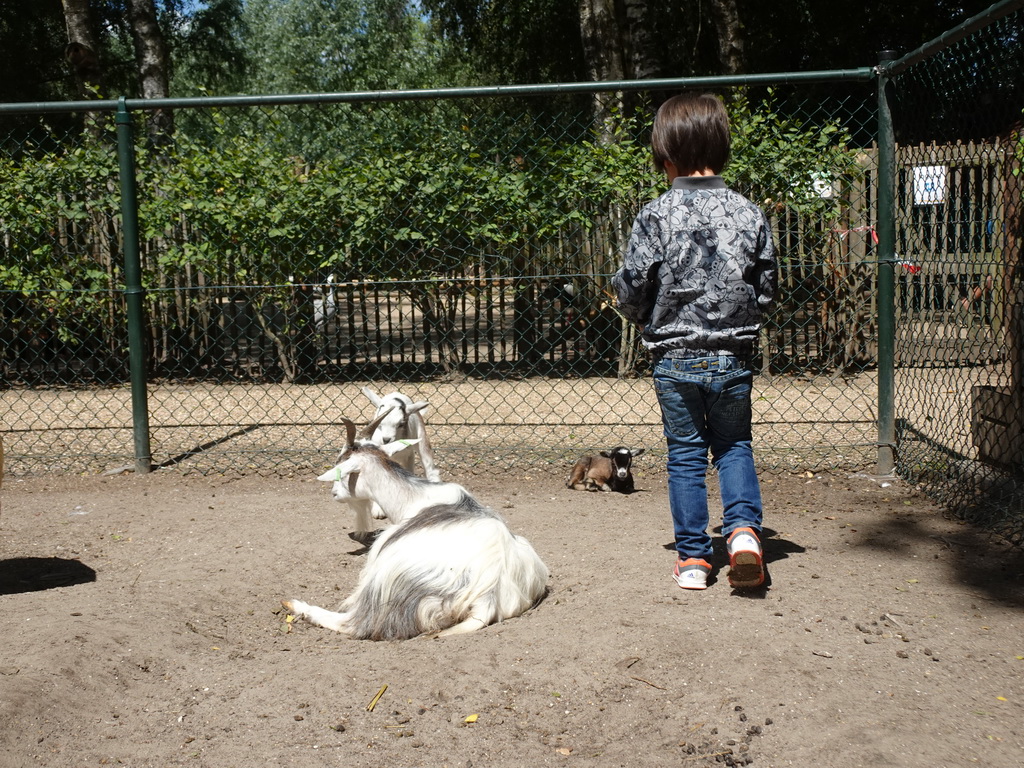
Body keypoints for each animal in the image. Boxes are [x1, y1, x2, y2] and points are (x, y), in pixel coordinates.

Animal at [284, 417, 548, 638]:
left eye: (341, 463)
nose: (334, 493)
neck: (416, 498)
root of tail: (489, 592)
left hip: (386, 584)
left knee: (353, 624)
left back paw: (298, 606)